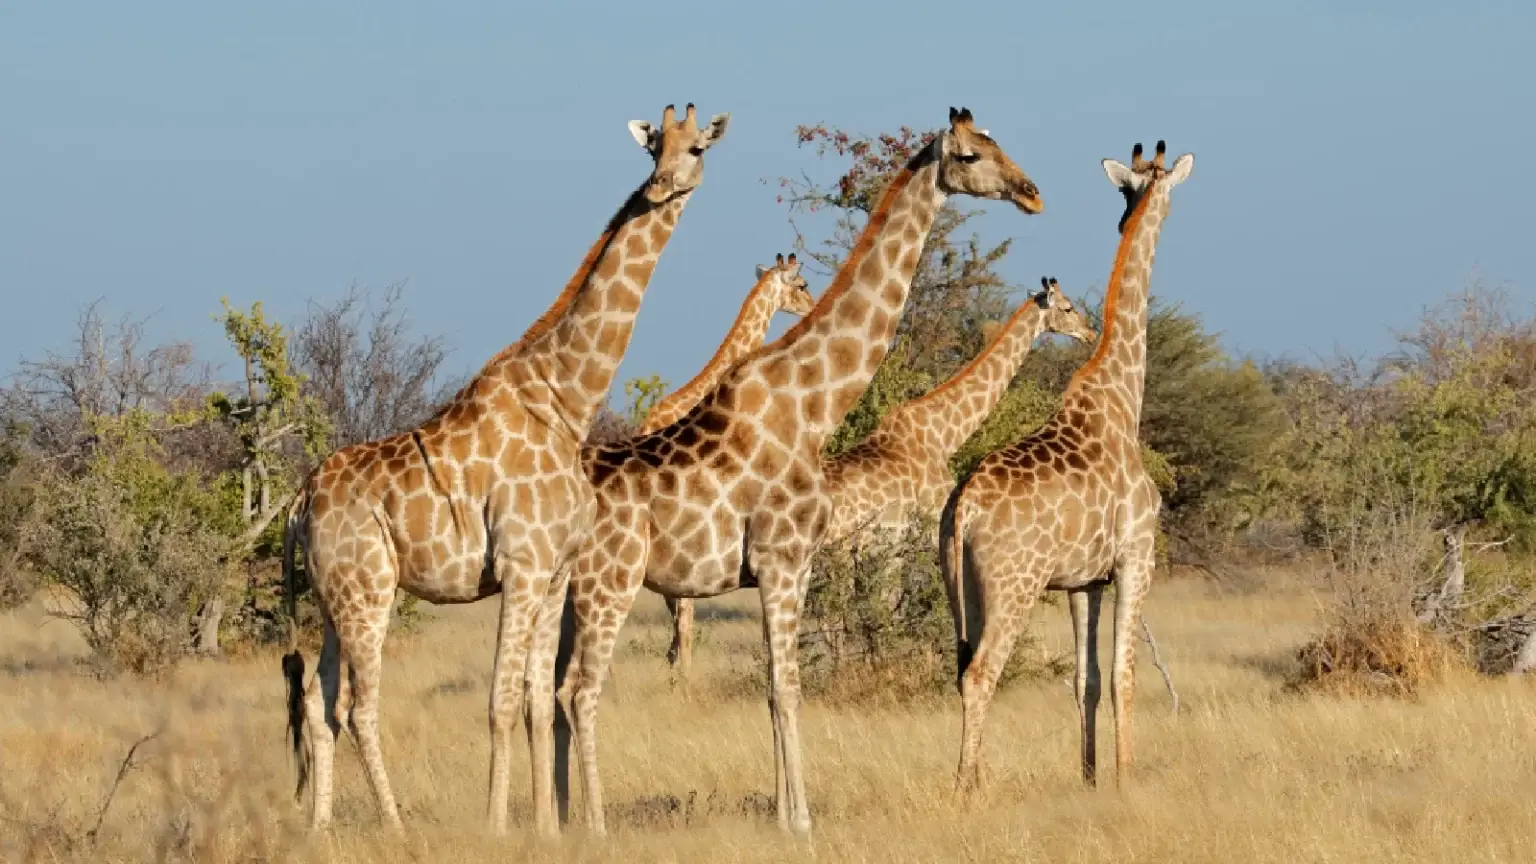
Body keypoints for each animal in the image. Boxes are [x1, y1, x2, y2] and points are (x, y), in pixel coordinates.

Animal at [279, 102, 731, 837]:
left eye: (695, 149)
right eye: (653, 148)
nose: (661, 187)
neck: (566, 399)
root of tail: (298, 503)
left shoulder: (555, 573)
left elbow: (538, 701)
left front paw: (548, 827)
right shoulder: (520, 566)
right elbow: (498, 701)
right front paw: (497, 826)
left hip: (329, 599)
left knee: (319, 706)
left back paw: (319, 830)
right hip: (367, 590)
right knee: (357, 706)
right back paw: (395, 826)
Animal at [939, 140, 1194, 793]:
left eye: (1129, 189)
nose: (1132, 214)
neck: (1122, 397)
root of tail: (964, 507)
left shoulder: (1084, 580)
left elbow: (1087, 681)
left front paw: (1090, 778)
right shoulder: (1136, 558)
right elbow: (1127, 677)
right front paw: (1126, 780)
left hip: (960, 586)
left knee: (961, 667)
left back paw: (976, 781)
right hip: (1014, 585)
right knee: (981, 673)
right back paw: (965, 793)